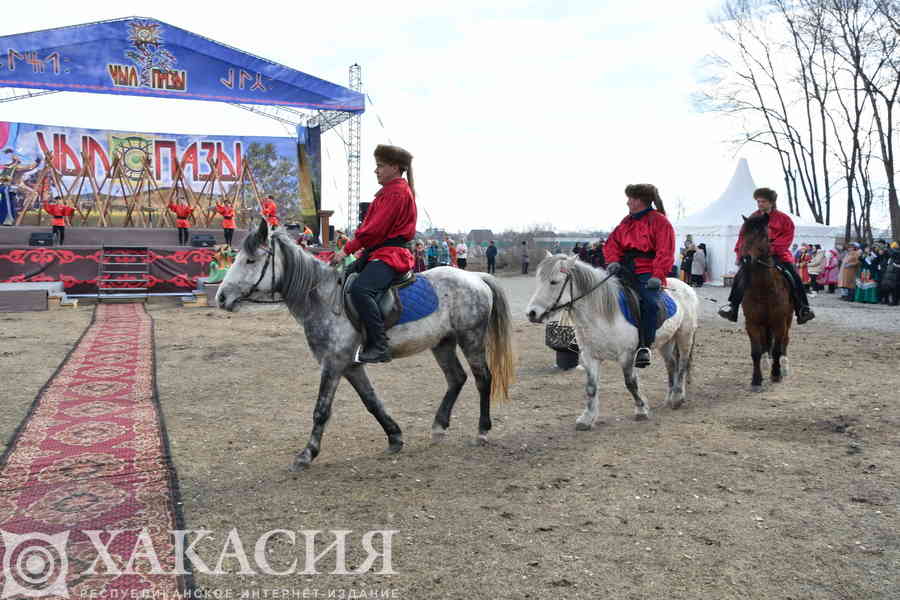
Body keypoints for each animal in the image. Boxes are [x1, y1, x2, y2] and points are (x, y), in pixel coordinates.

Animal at [214, 218, 516, 472]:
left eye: (250, 260)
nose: (221, 297)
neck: (323, 298)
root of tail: (476, 278)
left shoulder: (334, 363)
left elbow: (321, 409)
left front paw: (307, 454)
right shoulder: (351, 366)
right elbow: (371, 401)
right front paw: (394, 437)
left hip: (471, 338)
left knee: (482, 378)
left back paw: (482, 430)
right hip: (443, 342)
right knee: (456, 378)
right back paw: (439, 426)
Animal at [524, 253, 700, 426]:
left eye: (554, 282)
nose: (531, 313)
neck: (602, 314)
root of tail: (685, 286)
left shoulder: (627, 355)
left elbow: (630, 383)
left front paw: (641, 410)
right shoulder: (590, 356)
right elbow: (591, 387)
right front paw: (587, 418)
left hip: (684, 336)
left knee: (682, 364)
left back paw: (677, 398)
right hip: (667, 341)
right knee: (671, 365)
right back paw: (670, 397)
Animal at [740, 213, 796, 392]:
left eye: (764, 236)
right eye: (743, 234)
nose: (745, 258)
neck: (764, 289)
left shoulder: (779, 322)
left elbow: (777, 349)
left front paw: (776, 374)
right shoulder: (752, 323)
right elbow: (756, 351)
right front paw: (756, 379)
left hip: (787, 320)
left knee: (785, 341)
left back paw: (784, 367)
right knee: (766, 343)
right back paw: (766, 363)